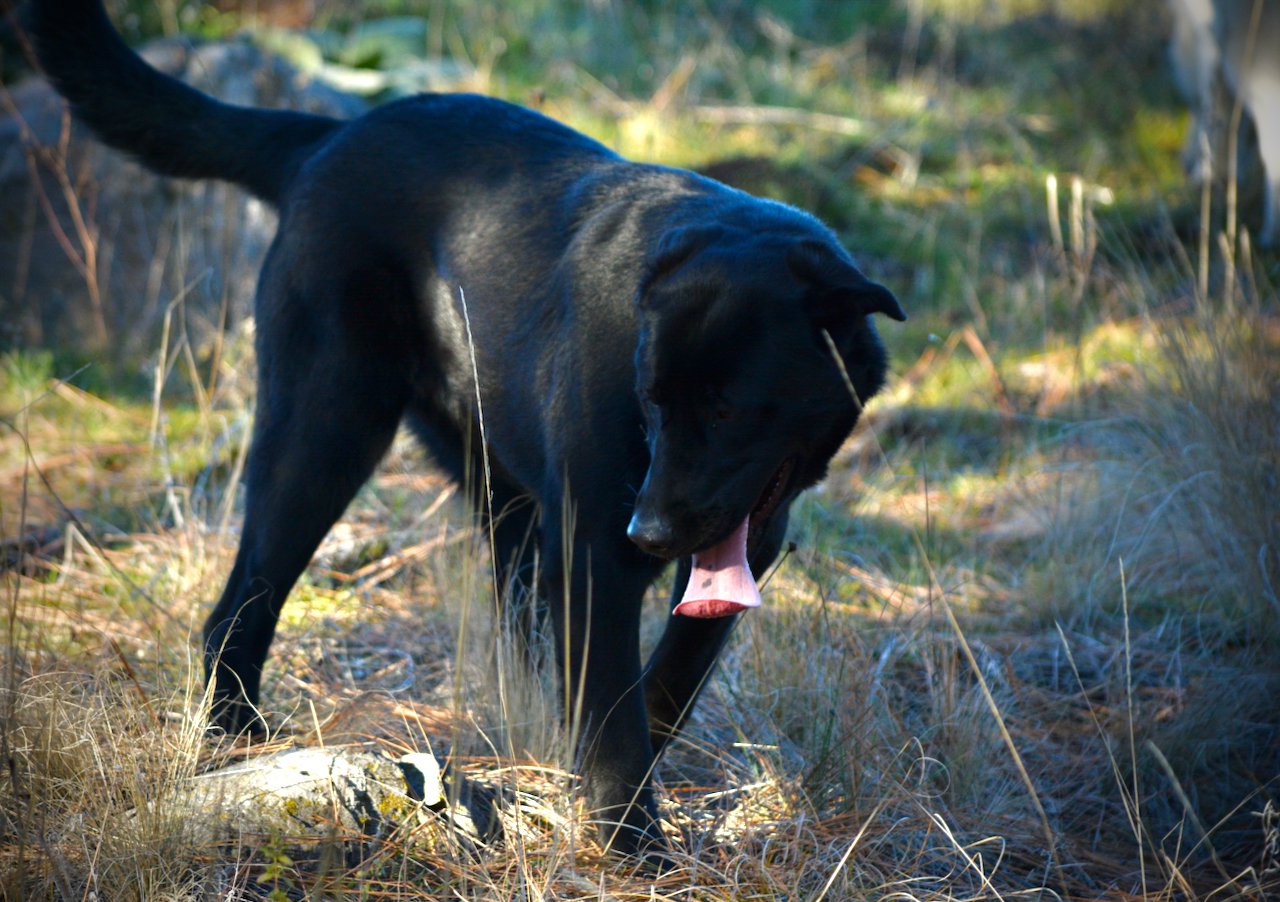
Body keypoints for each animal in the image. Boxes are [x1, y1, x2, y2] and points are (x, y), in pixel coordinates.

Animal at [35, 0, 906, 854]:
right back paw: (234, 740)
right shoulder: (594, 550)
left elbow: (661, 686)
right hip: (325, 431)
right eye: (653, 399)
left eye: (728, 408)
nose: (651, 532)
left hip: (501, 496)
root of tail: (327, 139)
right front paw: (631, 847)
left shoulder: (727, 542)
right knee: (240, 604)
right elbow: (614, 714)